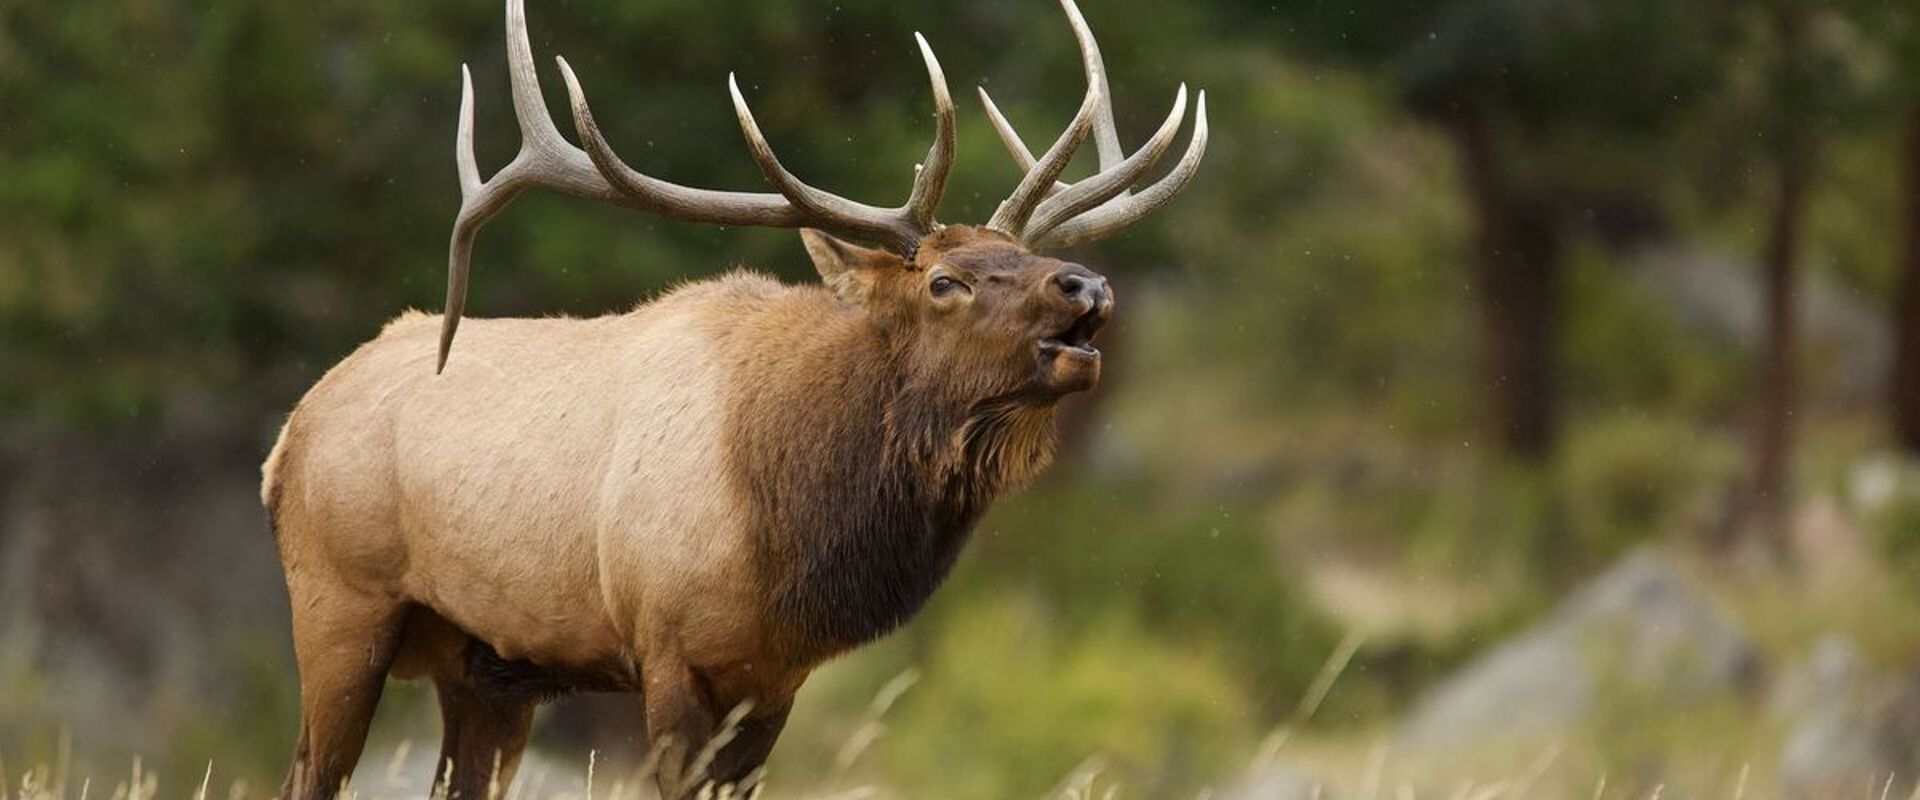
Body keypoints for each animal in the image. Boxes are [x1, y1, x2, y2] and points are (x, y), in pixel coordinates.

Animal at [261, 0, 1207, 797]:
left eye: (1026, 258)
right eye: (945, 280)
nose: (1087, 285)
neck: (789, 531)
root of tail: (288, 435)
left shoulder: (772, 683)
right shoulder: (669, 651)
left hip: (484, 666)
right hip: (339, 605)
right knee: (309, 770)